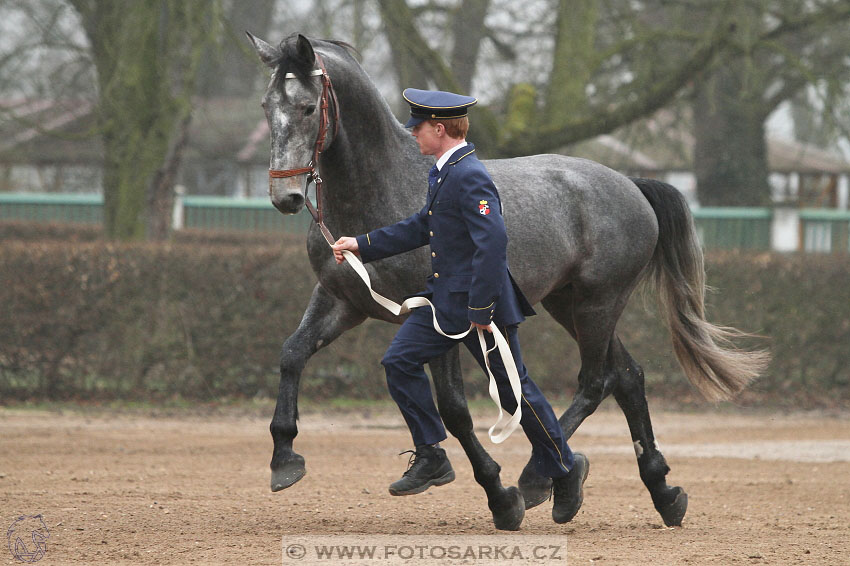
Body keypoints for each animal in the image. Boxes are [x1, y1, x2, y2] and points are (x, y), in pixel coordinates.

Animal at [247, 33, 768, 532]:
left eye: (308, 107)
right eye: (266, 106)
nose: (285, 195)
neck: (384, 190)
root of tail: (631, 185)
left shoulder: (435, 316)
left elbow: (454, 408)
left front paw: (497, 496)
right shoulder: (343, 300)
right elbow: (292, 354)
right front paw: (284, 459)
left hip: (598, 303)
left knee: (596, 381)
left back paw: (541, 478)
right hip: (566, 304)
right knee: (627, 377)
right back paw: (657, 492)